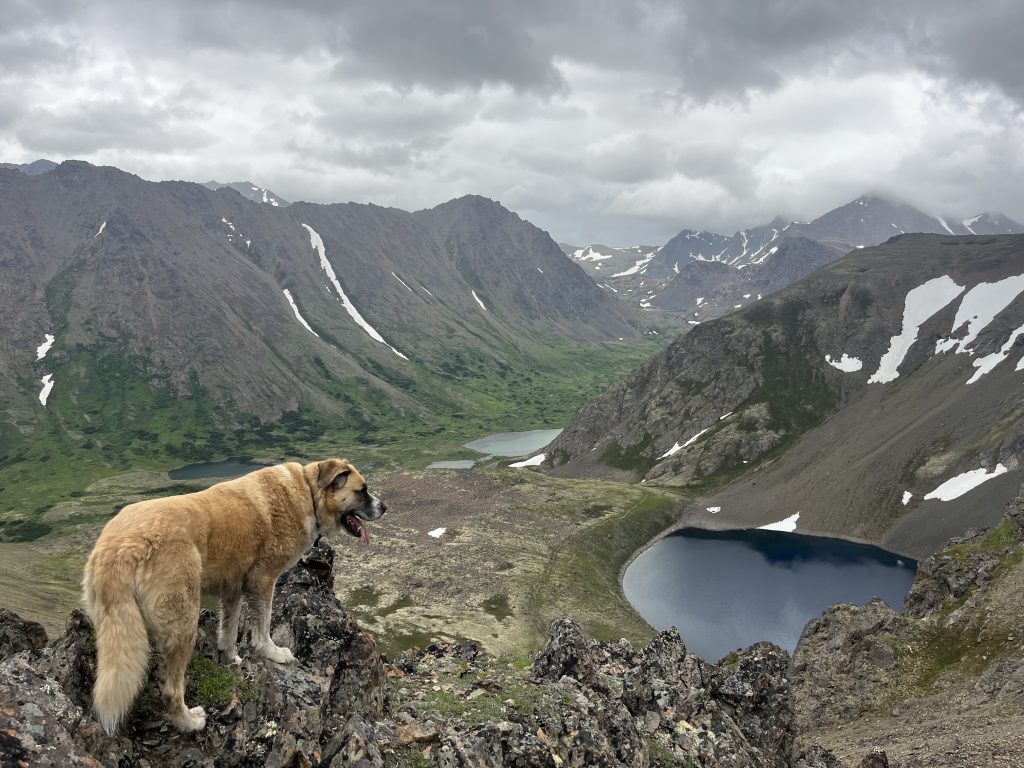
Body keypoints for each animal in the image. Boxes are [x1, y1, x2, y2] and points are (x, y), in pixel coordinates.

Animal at [81, 460, 385, 737]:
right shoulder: (263, 580)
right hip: (183, 621)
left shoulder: (233, 589)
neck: (308, 491)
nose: (384, 507)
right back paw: (189, 722)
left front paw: (229, 657)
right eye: (362, 490)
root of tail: (119, 547)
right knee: (171, 691)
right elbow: (262, 625)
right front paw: (272, 652)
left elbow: (229, 628)